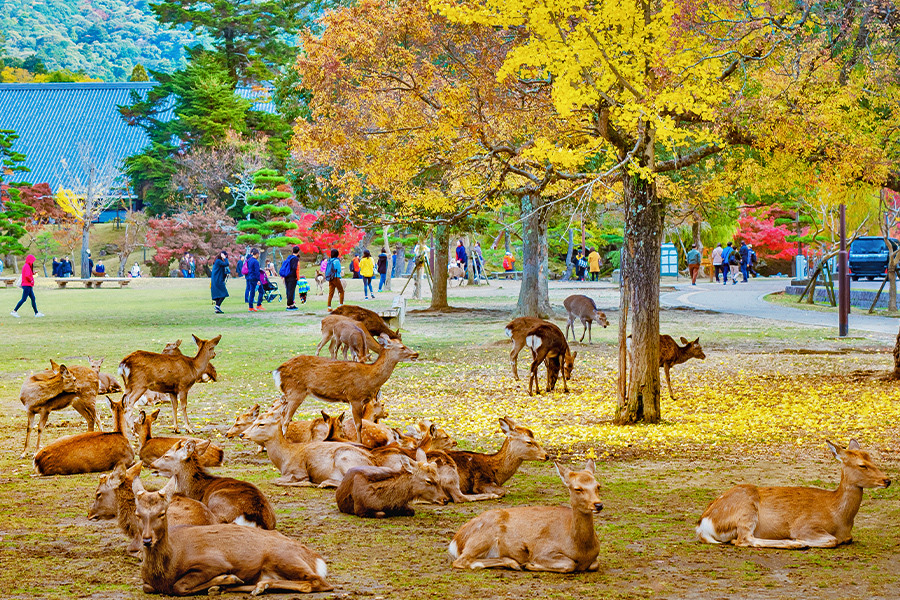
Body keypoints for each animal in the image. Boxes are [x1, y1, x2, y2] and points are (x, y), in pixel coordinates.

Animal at [132, 476, 332, 596]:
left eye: (162, 513)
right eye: (137, 513)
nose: (147, 540)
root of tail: (317, 560)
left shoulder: (213, 562)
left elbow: (179, 586)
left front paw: (226, 578)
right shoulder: (147, 583)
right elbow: (147, 587)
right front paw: (225, 582)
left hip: (284, 557)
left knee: (318, 582)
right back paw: (255, 586)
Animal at [240, 409, 374, 487]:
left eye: (261, 424)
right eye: (253, 422)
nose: (242, 434)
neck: (284, 460)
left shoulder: (299, 470)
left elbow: (275, 481)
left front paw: (308, 483)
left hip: (345, 459)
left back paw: (323, 483)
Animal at [273, 334, 418, 442]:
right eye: (402, 347)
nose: (415, 354)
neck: (370, 377)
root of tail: (277, 371)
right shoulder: (355, 397)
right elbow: (358, 425)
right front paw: (359, 443)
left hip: (288, 393)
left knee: (282, 416)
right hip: (296, 392)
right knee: (285, 420)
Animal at [449, 460, 603, 571]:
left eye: (598, 486)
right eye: (577, 488)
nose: (598, 505)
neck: (580, 550)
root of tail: (456, 540)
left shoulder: (594, 560)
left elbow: (595, 565)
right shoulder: (542, 550)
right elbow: (569, 564)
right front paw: (531, 565)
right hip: (482, 537)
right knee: (461, 561)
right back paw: (516, 564)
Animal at [696, 439, 891, 549]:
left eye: (872, 458)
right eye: (862, 465)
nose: (887, 480)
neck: (839, 517)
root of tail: (702, 526)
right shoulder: (805, 525)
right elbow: (832, 540)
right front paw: (799, 540)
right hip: (745, 509)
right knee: (744, 539)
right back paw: (795, 543)